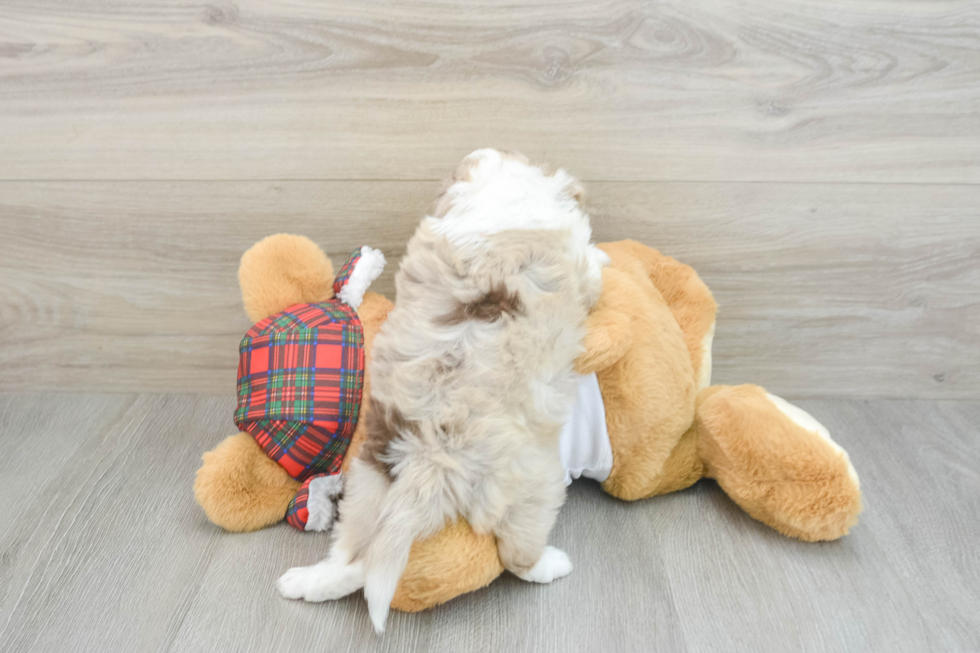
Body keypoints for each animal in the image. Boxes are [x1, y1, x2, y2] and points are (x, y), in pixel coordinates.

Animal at [276, 149, 608, 632]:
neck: (500, 194)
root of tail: (430, 458)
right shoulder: (574, 258)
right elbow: (592, 269)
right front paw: (604, 255)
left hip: (368, 487)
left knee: (355, 561)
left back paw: (303, 583)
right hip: (534, 483)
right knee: (516, 553)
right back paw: (552, 564)